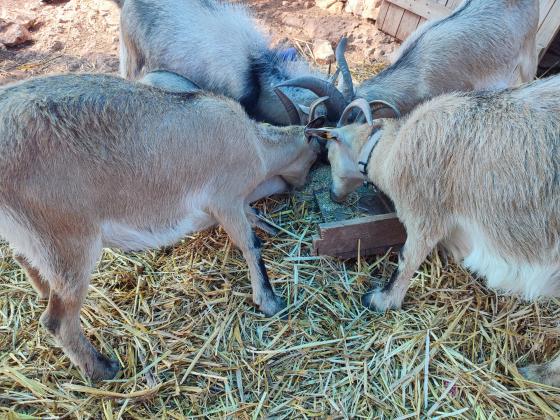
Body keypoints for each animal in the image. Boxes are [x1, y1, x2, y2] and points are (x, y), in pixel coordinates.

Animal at [0, 73, 324, 380]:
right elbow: (250, 244)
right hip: (70, 240)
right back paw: (104, 369)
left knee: (22, 258)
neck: (255, 144)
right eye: (317, 154)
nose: (302, 184)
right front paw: (269, 301)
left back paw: (44, 291)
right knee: (57, 319)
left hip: (37, 237)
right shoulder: (225, 198)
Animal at [304, 76, 560, 388]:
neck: (387, 149)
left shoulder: (423, 213)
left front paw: (381, 301)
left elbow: (407, 259)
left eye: (329, 154)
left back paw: (538, 373)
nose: (334, 195)